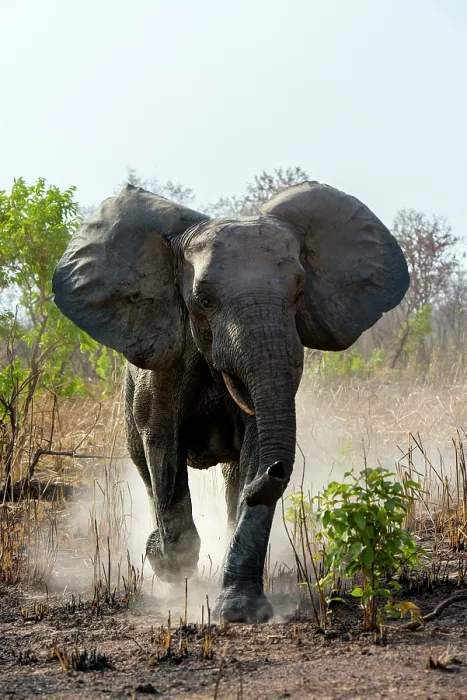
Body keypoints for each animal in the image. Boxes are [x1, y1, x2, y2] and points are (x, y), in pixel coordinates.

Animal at [52, 180, 409, 622]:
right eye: (204, 301)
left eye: (299, 291)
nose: (276, 470)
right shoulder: (164, 368)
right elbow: (163, 448)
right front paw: (167, 565)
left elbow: (253, 450)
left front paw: (240, 611)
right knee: (147, 469)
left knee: (232, 476)